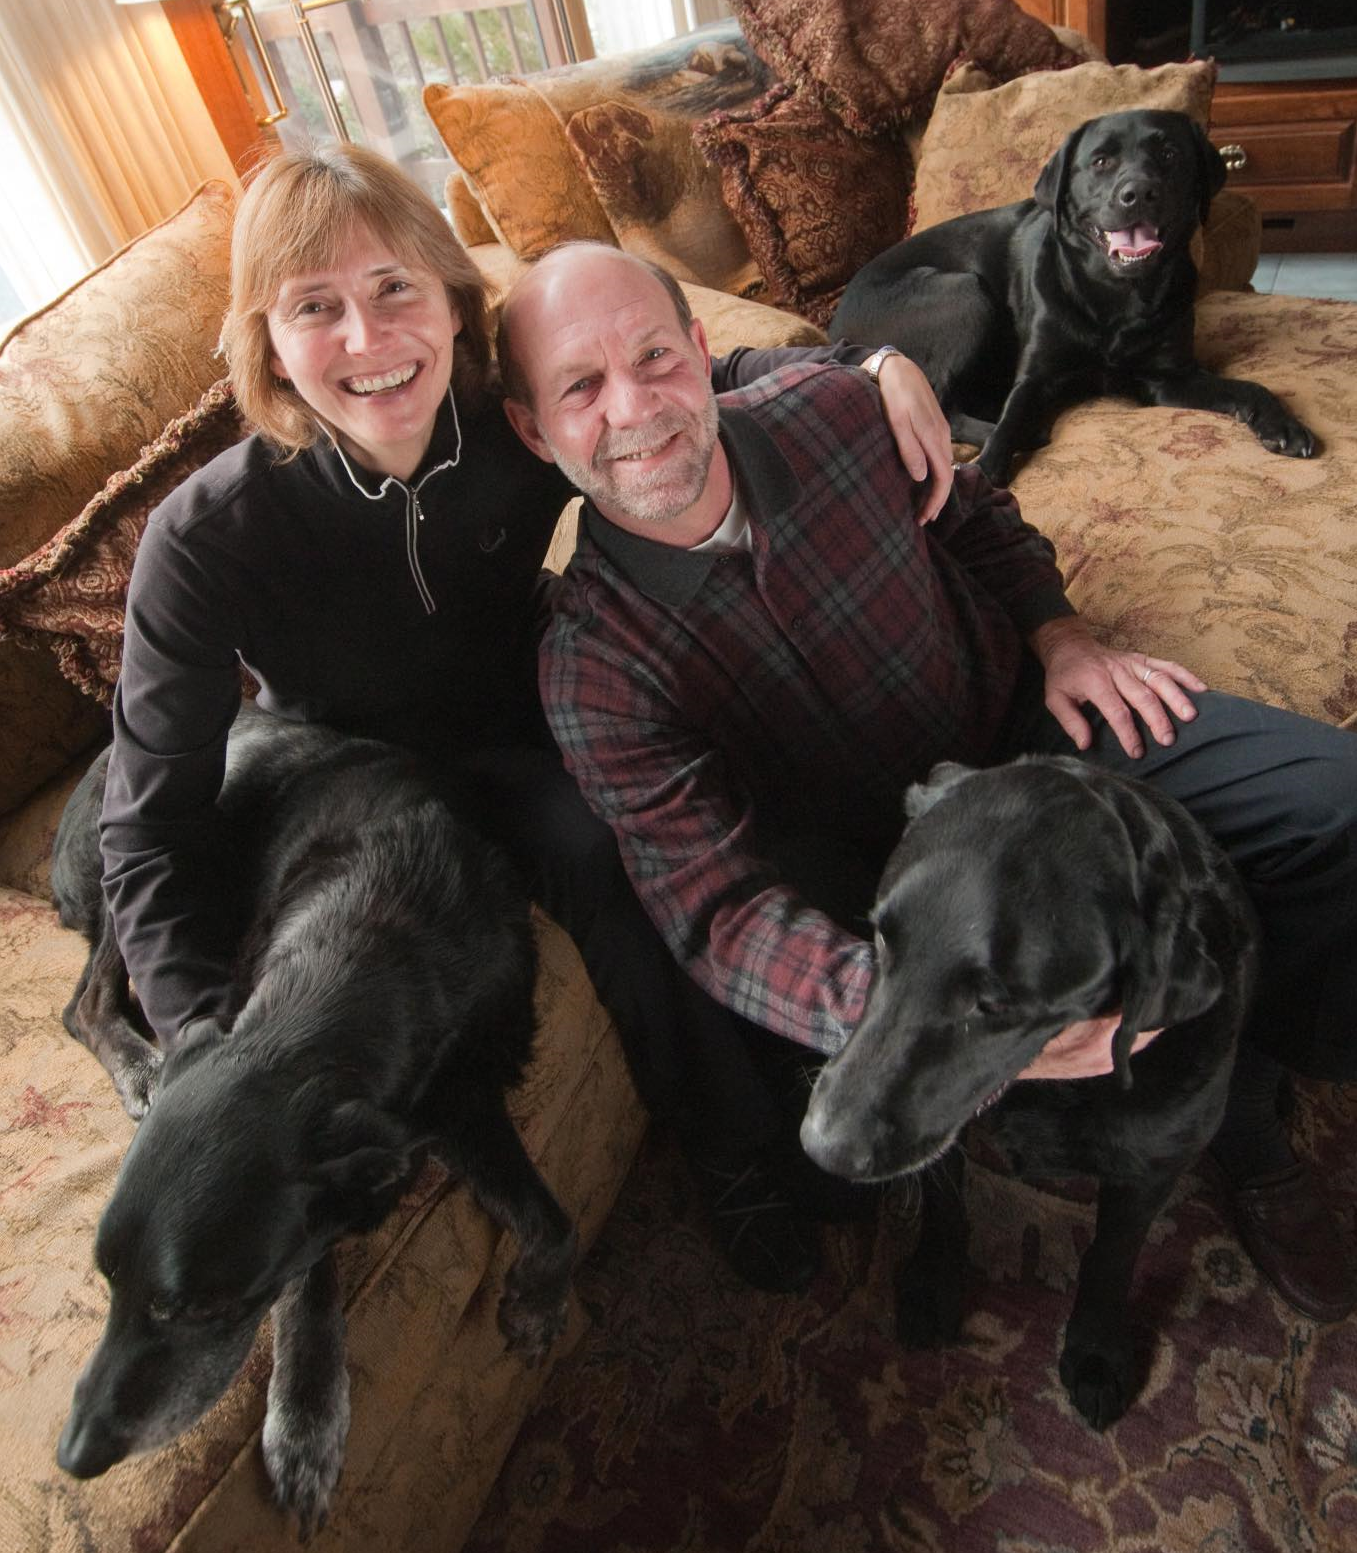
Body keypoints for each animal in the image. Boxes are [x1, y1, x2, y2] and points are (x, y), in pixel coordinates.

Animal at [47, 711, 574, 1534]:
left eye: (194, 1308)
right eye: (107, 1283)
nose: (73, 1457)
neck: (372, 946)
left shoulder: (462, 1090)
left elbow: (555, 1222)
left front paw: (535, 1304)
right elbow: (307, 1269)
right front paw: (305, 1417)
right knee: (86, 1002)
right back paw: (140, 1067)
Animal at [801, 754, 1254, 1428]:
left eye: (994, 1003)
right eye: (882, 937)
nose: (821, 1147)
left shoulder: (1153, 1166)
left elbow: (1112, 1256)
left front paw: (1096, 1351)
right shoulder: (948, 1132)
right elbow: (945, 1206)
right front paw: (934, 1281)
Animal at [826, 107, 1310, 484]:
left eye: (1170, 155)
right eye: (1100, 161)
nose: (1138, 193)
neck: (1115, 296)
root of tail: (833, 325)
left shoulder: (1169, 378)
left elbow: (1249, 387)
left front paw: (1283, 425)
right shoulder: (1037, 375)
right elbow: (1012, 417)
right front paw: (989, 465)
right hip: (965, 293)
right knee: (940, 405)